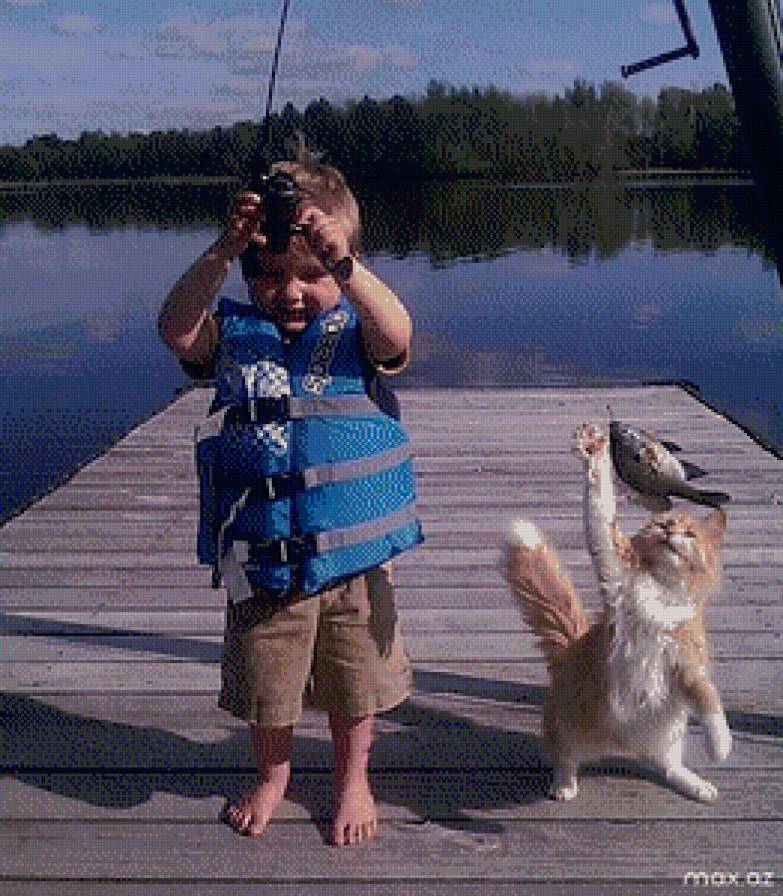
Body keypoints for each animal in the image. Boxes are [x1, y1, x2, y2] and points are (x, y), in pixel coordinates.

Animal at [502, 422, 732, 803]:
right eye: (662, 524)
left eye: (689, 533)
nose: (669, 531)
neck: (661, 590)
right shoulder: (612, 562)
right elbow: (599, 505)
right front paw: (594, 450)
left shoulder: (688, 663)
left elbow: (711, 703)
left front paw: (720, 747)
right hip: (569, 723)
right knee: (565, 757)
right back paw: (564, 786)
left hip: (670, 731)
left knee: (668, 765)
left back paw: (694, 783)